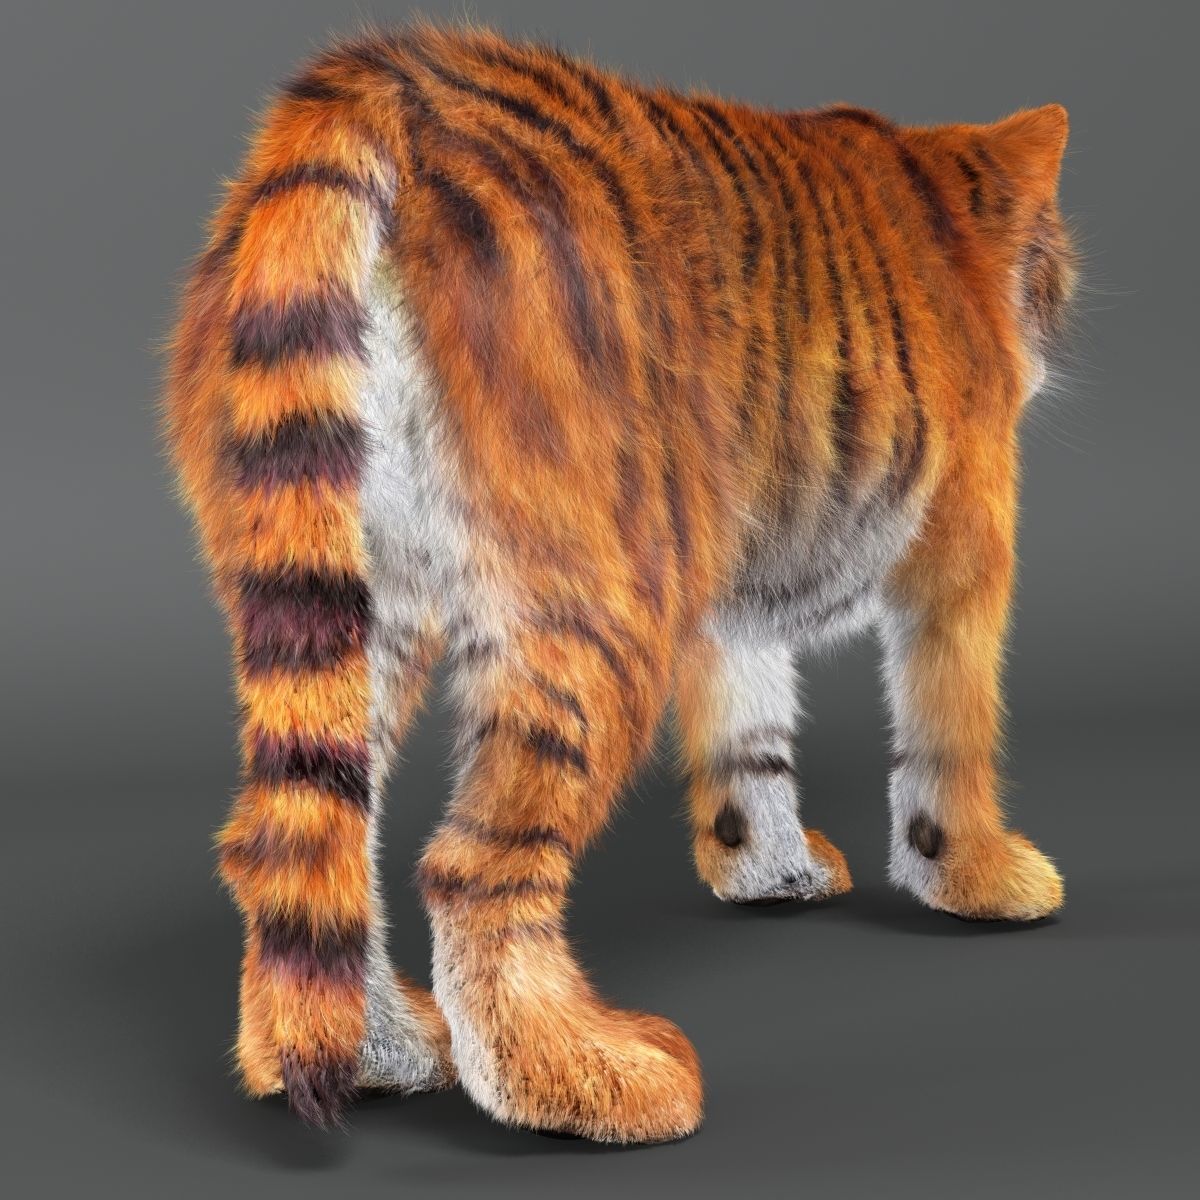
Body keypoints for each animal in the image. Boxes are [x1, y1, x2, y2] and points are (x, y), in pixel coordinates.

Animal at [163, 22, 1077, 1145]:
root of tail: (386, 95)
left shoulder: (731, 595)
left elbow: (749, 738)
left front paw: (769, 870)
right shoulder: (964, 545)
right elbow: (954, 731)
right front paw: (982, 878)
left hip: (346, 594)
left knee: (293, 838)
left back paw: (367, 1054)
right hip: (596, 599)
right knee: (471, 866)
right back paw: (585, 1078)